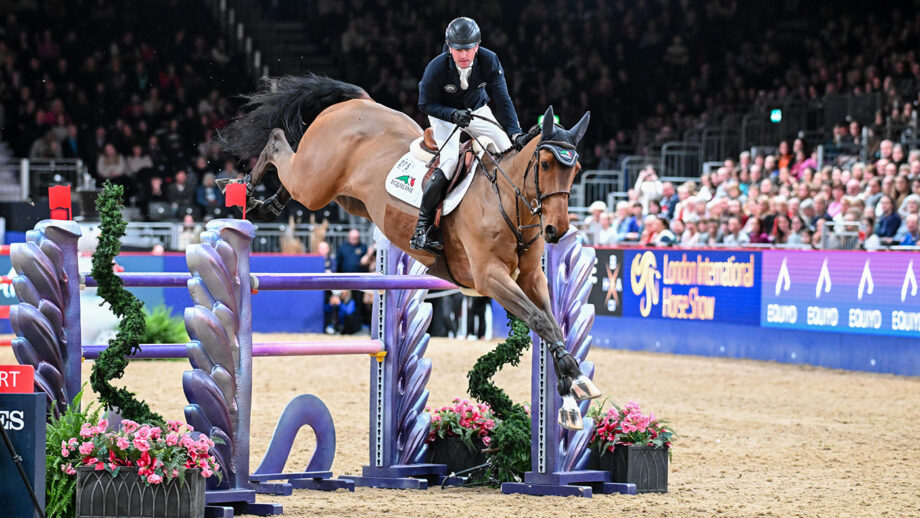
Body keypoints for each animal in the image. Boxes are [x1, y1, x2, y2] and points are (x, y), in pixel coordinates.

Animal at [220, 74, 600, 430]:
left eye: (577, 170)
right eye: (546, 165)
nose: (556, 231)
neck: (506, 201)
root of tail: (359, 103)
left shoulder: (532, 278)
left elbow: (552, 323)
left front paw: (572, 389)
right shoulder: (490, 277)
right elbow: (539, 320)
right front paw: (574, 382)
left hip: (345, 198)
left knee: (293, 174)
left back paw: (270, 202)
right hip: (315, 184)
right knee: (277, 143)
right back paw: (245, 190)